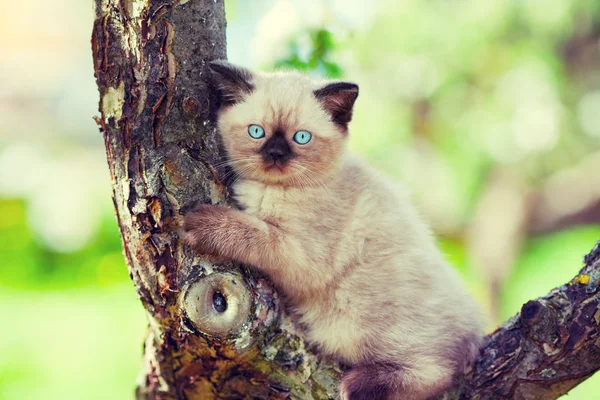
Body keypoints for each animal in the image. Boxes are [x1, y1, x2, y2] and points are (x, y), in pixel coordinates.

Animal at [183, 60, 482, 400]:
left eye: (301, 137)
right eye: (256, 132)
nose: (275, 154)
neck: (275, 190)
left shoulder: (298, 253)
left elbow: (250, 232)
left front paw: (198, 222)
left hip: (359, 320)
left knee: (437, 370)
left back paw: (358, 386)